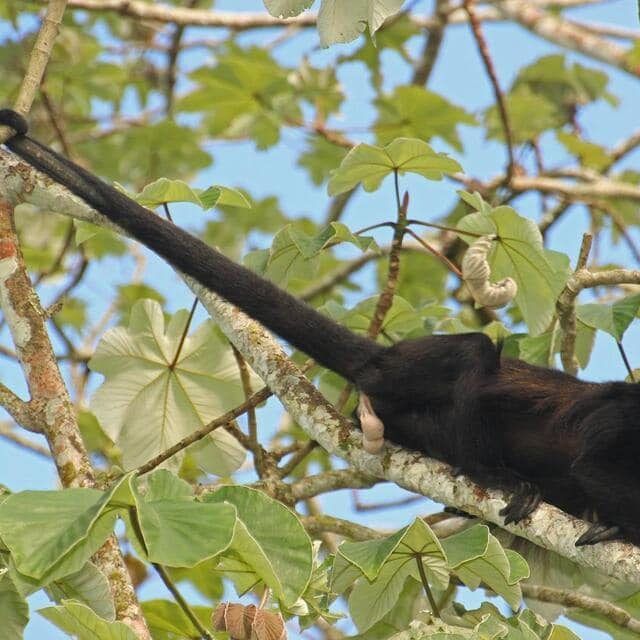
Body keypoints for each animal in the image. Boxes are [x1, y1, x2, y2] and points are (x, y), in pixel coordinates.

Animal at [1, 108, 639, 547]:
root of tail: (382, 355)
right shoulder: (624, 417)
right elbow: (591, 463)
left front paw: (609, 526)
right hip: (405, 369)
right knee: (477, 353)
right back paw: (494, 475)